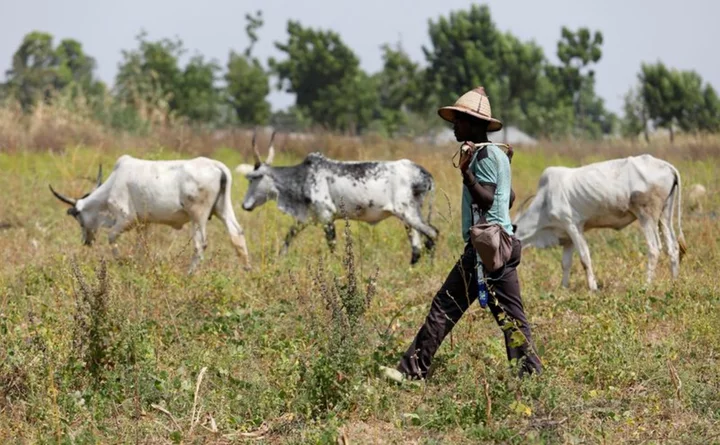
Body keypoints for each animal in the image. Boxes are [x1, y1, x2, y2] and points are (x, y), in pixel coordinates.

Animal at [49, 156, 252, 274]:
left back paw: (189, 274)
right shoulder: (143, 223)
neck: (112, 185)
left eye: (78, 218)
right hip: (222, 209)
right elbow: (141, 246)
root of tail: (217, 166)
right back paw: (247, 269)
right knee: (237, 233)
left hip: (198, 215)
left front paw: (122, 262)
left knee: (200, 243)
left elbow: (111, 237)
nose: (86, 241)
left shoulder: (126, 219)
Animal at [238, 132, 438, 264]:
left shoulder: (327, 216)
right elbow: (290, 235)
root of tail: (423, 173)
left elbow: (332, 245)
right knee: (417, 244)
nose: (244, 205)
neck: (304, 176)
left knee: (432, 233)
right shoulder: (308, 217)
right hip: (409, 215)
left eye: (252, 178)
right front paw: (280, 259)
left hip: (406, 212)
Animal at [512, 154, 688, 290]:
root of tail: (667, 166)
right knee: (672, 248)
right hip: (664, 215)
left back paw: (646, 285)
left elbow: (584, 258)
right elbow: (566, 263)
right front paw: (564, 287)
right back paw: (674, 283)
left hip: (647, 216)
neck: (545, 201)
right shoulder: (567, 236)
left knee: (654, 248)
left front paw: (593, 287)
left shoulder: (572, 226)